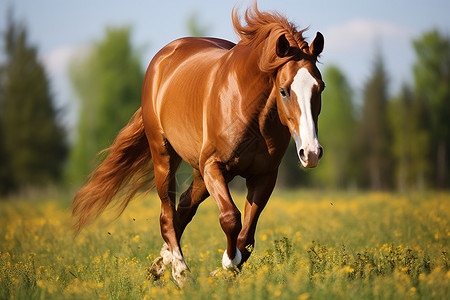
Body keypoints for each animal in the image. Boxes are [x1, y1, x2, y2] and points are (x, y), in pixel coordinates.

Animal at [72, 3, 326, 286]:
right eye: (284, 90)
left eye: (321, 87)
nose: (311, 153)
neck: (248, 106)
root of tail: (164, 56)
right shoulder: (214, 166)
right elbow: (230, 218)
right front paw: (226, 262)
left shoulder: (264, 176)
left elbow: (247, 237)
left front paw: (224, 270)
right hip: (165, 158)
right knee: (167, 215)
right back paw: (181, 272)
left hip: (199, 173)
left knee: (183, 208)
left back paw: (161, 264)